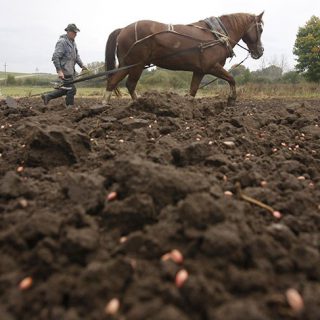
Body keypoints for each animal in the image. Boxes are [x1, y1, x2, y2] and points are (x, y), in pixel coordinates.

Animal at [104, 12, 264, 104]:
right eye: (261, 29)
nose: (260, 51)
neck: (216, 35)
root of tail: (122, 30)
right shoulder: (212, 66)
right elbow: (231, 78)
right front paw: (231, 99)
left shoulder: (200, 71)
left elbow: (193, 91)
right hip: (136, 64)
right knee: (129, 84)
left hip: (127, 64)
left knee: (113, 82)